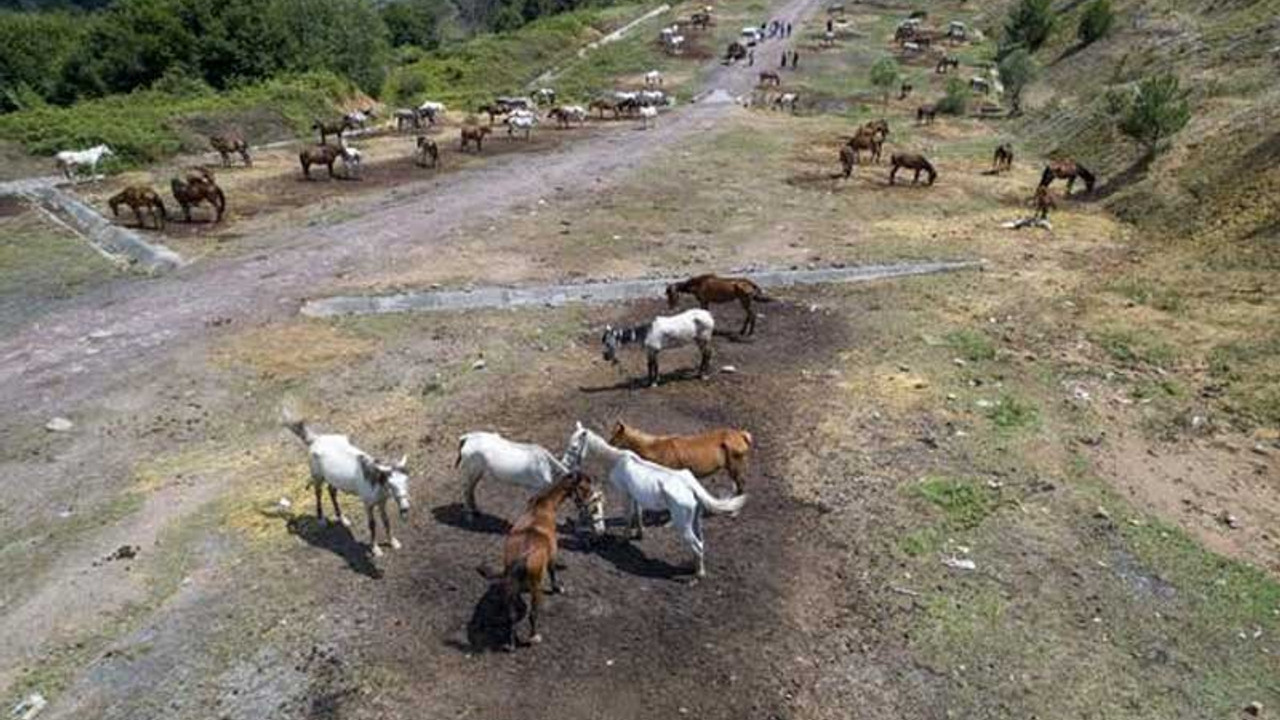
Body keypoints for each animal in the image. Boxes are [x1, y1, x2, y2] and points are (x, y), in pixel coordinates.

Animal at [285, 415, 409, 556]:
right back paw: (321, 520)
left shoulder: (382, 501)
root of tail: (316, 439)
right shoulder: (368, 504)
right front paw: (375, 549)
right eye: (391, 484)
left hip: (333, 479)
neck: (372, 479)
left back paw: (343, 519)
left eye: (406, 480)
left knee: (331, 491)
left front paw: (393, 542)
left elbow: (386, 521)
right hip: (317, 477)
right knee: (318, 493)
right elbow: (372, 524)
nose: (405, 509)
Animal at [458, 427, 601, 530]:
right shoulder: (535, 488)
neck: (546, 465)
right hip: (472, 469)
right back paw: (469, 516)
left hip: (478, 471)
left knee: (471, 489)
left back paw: (476, 512)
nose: (600, 530)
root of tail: (467, 438)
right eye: (594, 505)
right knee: (466, 489)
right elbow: (531, 506)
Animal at [478, 468, 596, 648]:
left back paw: (510, 644)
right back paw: (534, 637)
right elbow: (553, 571)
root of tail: (522, 559)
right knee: (533, 614)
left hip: (511, 587)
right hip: (536, 589)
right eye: (584, 488)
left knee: (511, 615)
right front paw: (558, 587)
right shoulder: (553, 554)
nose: (585, 506)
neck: (542, 506)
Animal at [606, 420, 747, 491]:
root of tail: (741, 435)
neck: (655, 448)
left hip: (735, 466)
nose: (608, 444)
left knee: (740, 484)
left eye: (615, 437)